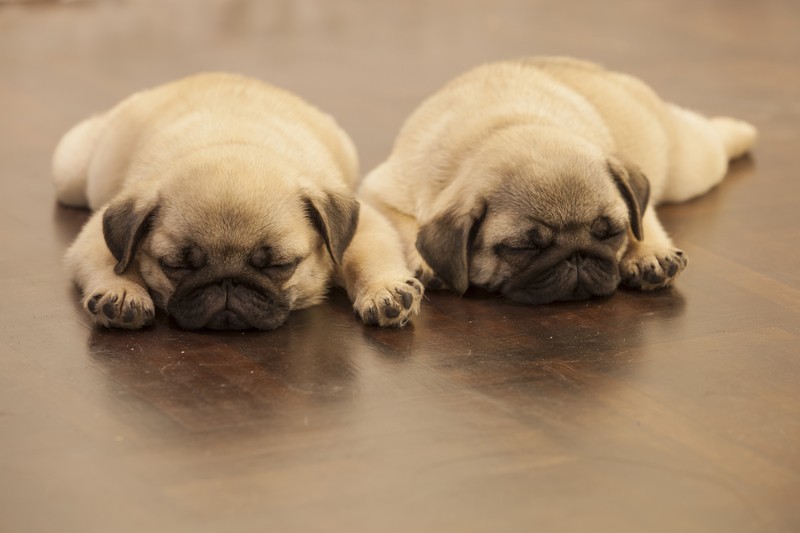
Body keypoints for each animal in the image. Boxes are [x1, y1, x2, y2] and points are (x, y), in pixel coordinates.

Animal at [53, 71, 422, 328]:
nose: (227, 281)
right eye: (175, 266)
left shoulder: (365, 224)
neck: (234, 142)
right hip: (71, 174)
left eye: (279, 266)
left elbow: (366, 256)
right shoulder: (96, 233)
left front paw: (385, 290)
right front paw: (122, 292)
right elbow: (109, 262)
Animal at [360, 56, 760, 304]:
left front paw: (648, 252)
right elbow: (405, 224)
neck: (503, 127)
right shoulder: (378, 193)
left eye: (609, 232)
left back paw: (742, 131)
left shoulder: (623, 169)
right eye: (523, 248)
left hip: (687, 168)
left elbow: (643, 218)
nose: (577, 255)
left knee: (704, 138)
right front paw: (425, 261)